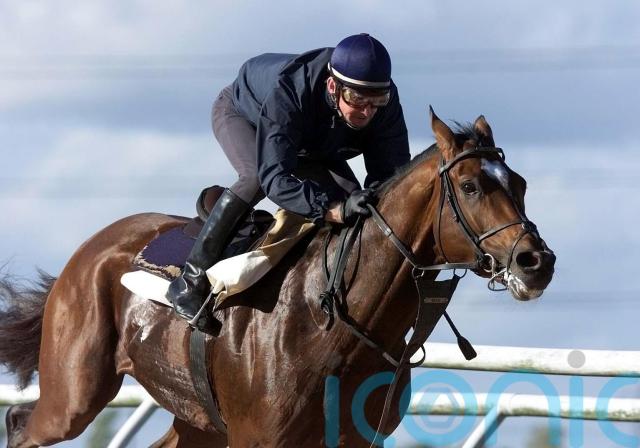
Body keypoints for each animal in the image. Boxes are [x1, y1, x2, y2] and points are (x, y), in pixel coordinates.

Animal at [0, 109, 555, 447]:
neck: (335, 322)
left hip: (197, 420)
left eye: (521, 184)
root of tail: (90, 249)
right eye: (470, 185)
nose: (537, 262)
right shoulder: (258, 437)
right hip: (74, 395)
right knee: (23, 424)